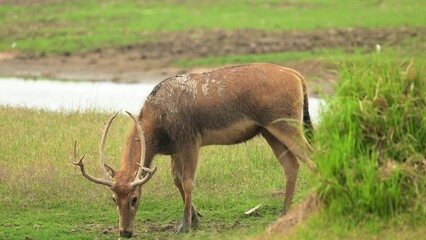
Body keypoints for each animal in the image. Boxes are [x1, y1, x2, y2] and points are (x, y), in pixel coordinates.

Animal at [71, 62, 314, 237]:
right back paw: (285, 212)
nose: (125, 232)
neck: (157, 130)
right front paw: (196, 218)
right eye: (113, 199)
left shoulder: (190, 141)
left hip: (286, 123)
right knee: (291, 165)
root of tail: (298, 77)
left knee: (310, 155)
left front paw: (184, 226)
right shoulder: (175, 150)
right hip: (268, 130)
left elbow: (188, 181)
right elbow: (177, 180)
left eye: (134, 198)